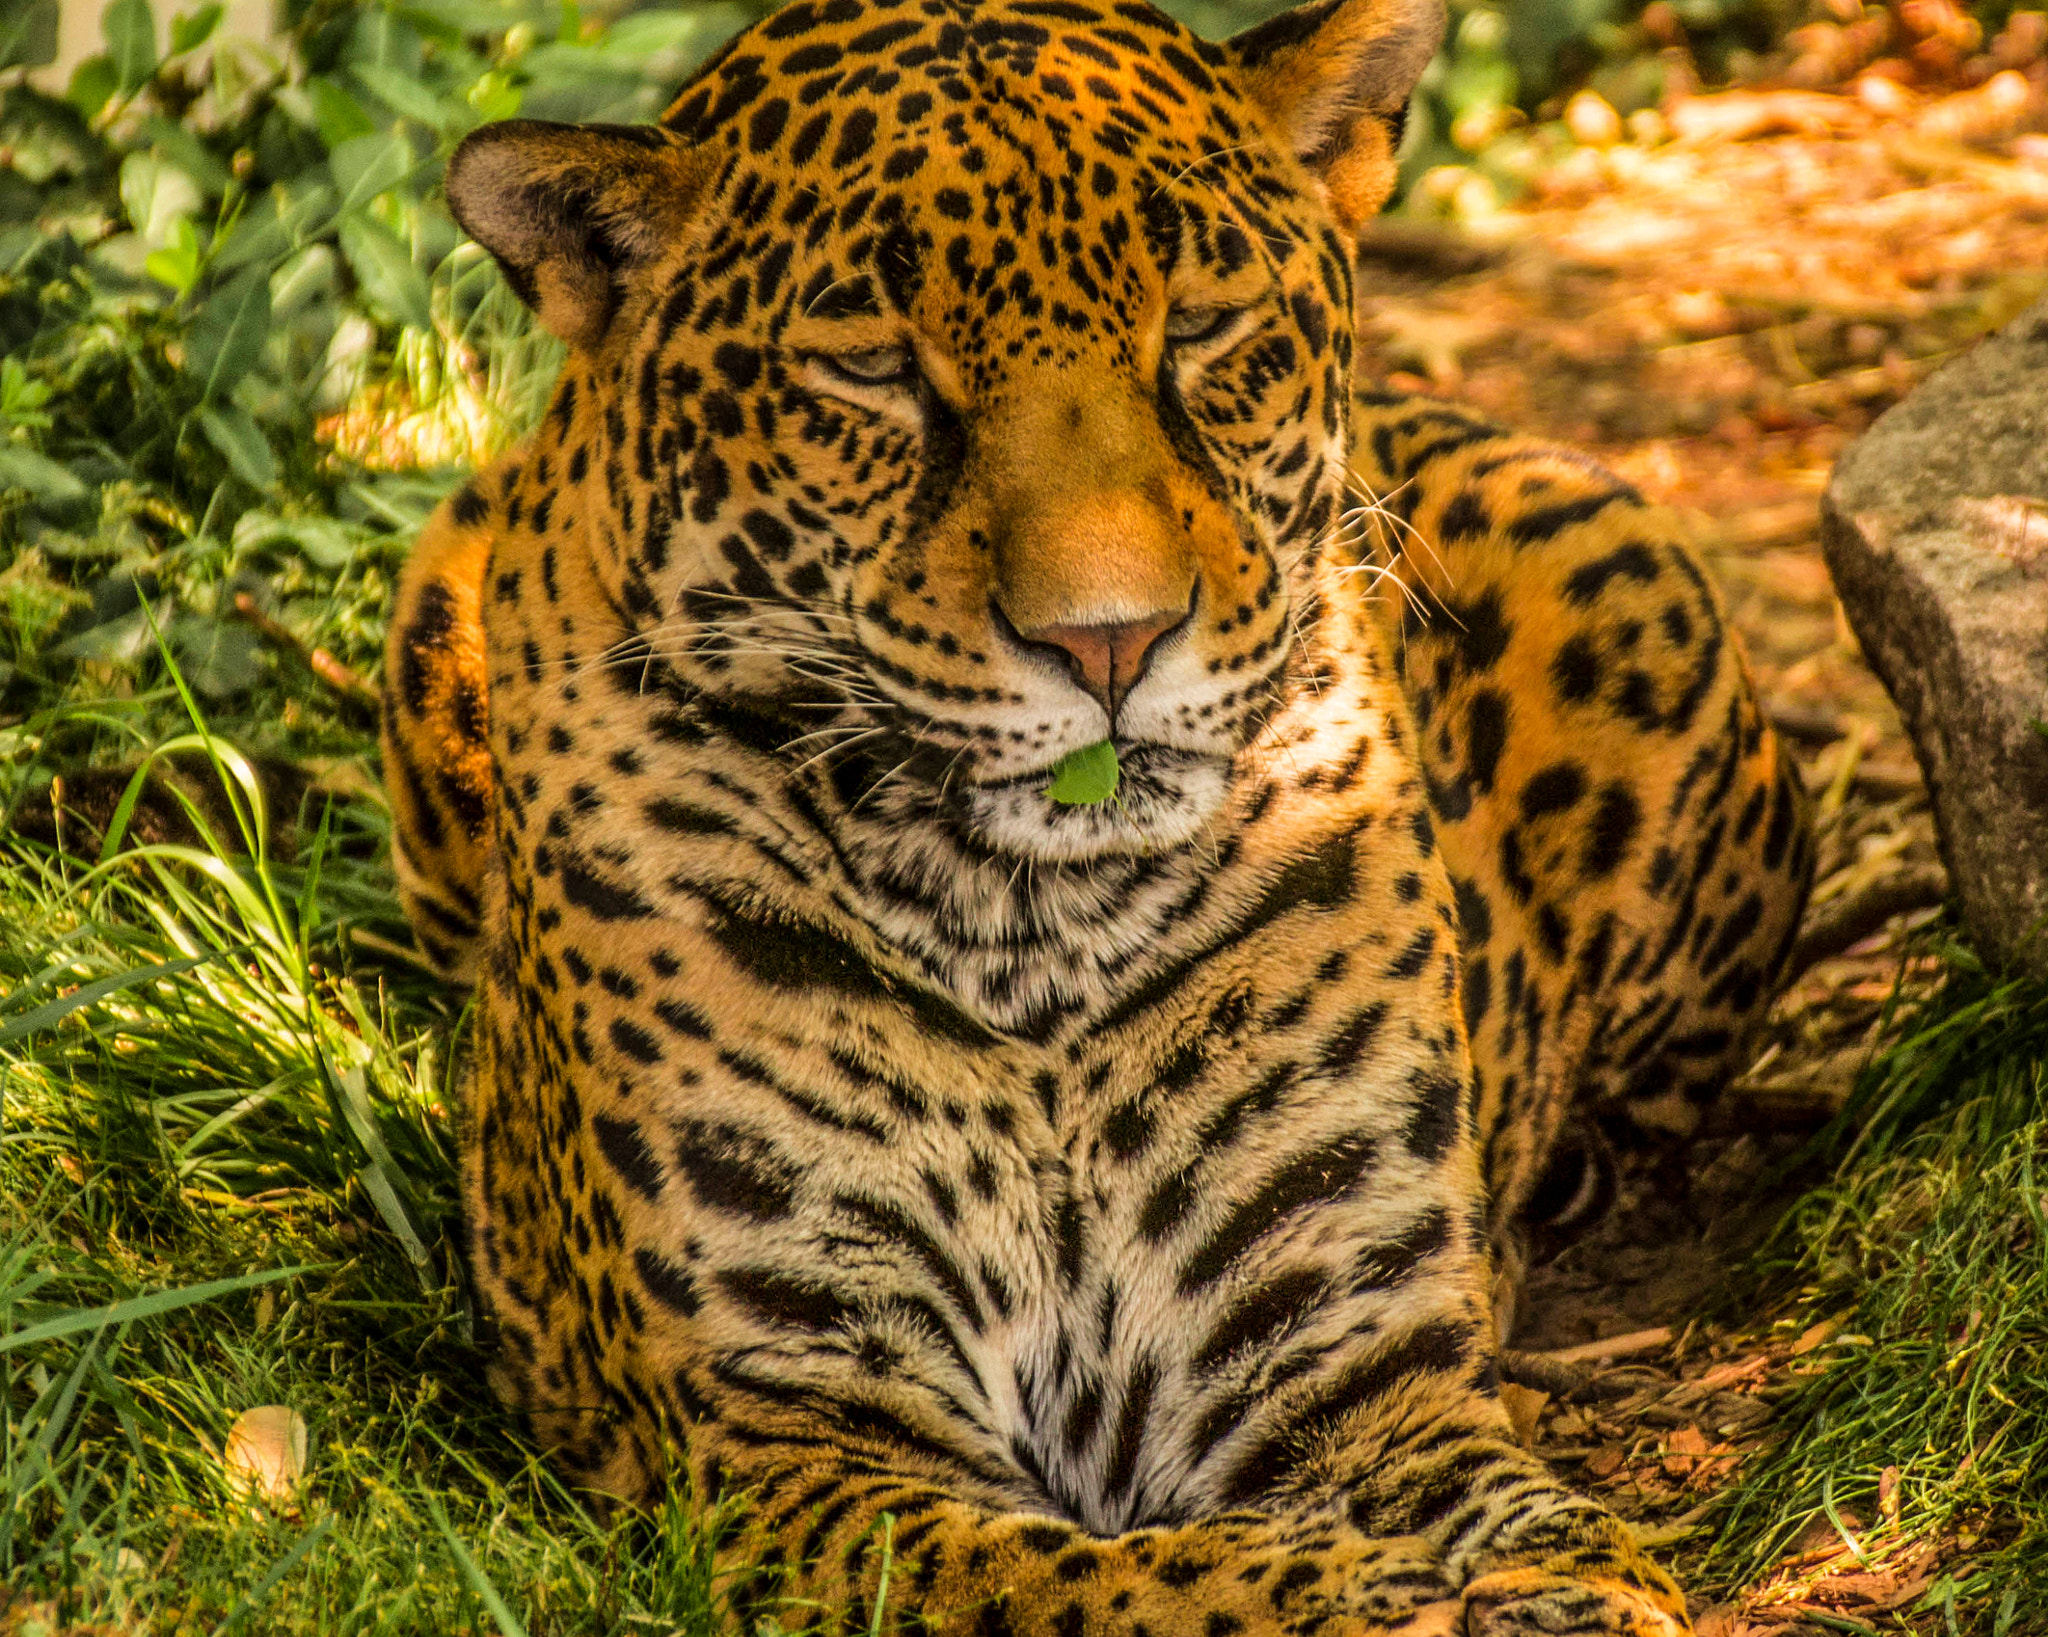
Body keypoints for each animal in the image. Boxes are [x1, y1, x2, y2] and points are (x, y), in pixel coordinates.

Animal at [379, 0, 1814, 1630]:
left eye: (1200, 327)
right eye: (873, 371)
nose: (1112, 640)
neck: (1037, 939)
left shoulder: (1359, 1363)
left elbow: (1535, 1521)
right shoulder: (791, 1431)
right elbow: (1110, 1580)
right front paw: (1355, 1590)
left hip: (1624, 557)